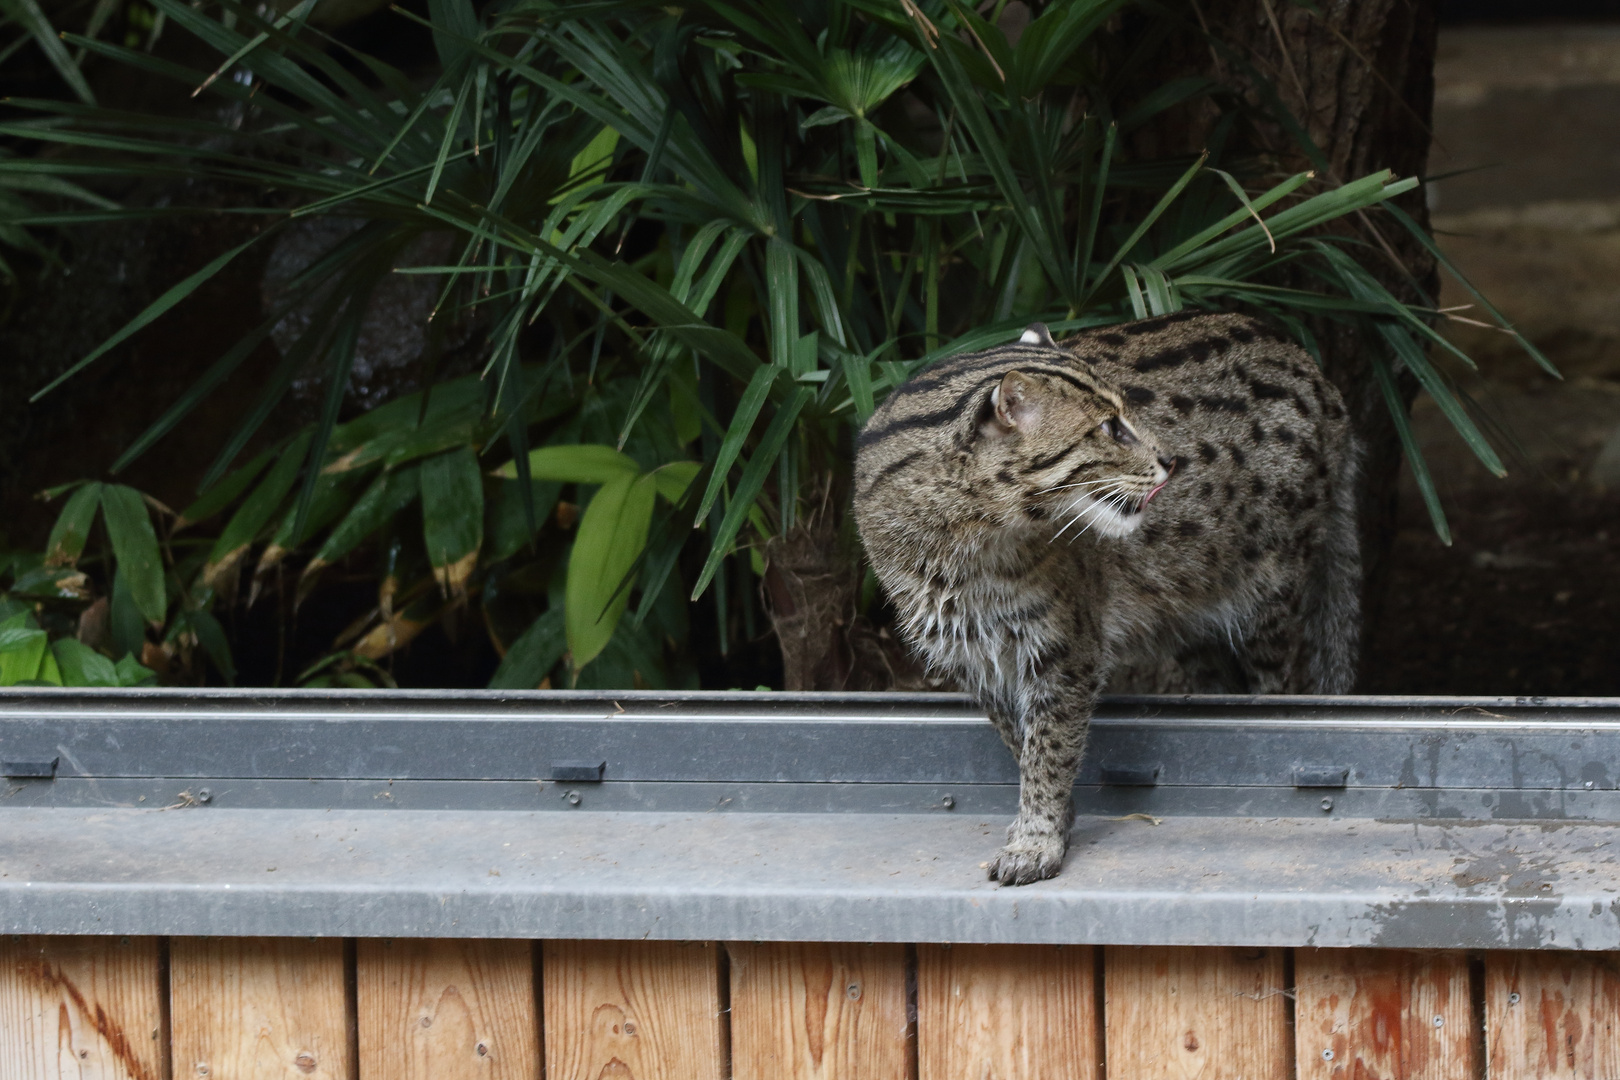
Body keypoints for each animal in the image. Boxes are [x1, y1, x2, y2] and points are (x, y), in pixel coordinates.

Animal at [855, 310, 1360, 887]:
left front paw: (1038, 837)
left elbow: (1049, 746)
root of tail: (1312, 369)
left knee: (1282, 685)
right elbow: (1020, 740)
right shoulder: (970, 656)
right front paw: (1052, 819)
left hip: (1269, 596)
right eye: (1107, 428)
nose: (1171, 459)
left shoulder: (1065, 648)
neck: (964, 544)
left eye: (1127, 413)